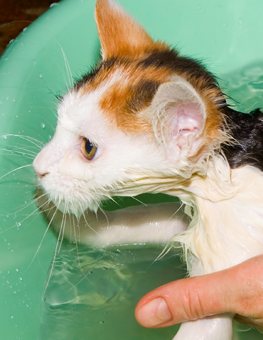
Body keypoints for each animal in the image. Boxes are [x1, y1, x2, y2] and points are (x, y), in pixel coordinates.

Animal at [32, 0, 263, 340]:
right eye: (59, 121)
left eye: (88, 148)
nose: (38, 167)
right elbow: (142, 219)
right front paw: (62, 216)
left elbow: (208, 326)